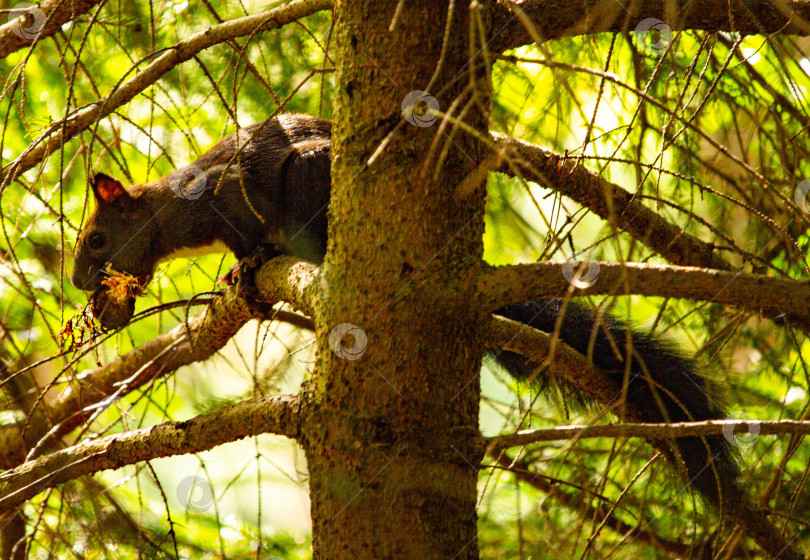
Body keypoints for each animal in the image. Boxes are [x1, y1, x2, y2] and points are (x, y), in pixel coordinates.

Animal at [71, 111, 800, 556]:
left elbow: (250, 236)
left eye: (96, 238)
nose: (81, 284)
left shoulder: (233, 196)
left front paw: (247, 267)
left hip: (310, 177)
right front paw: (233, 276)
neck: (180, 210)